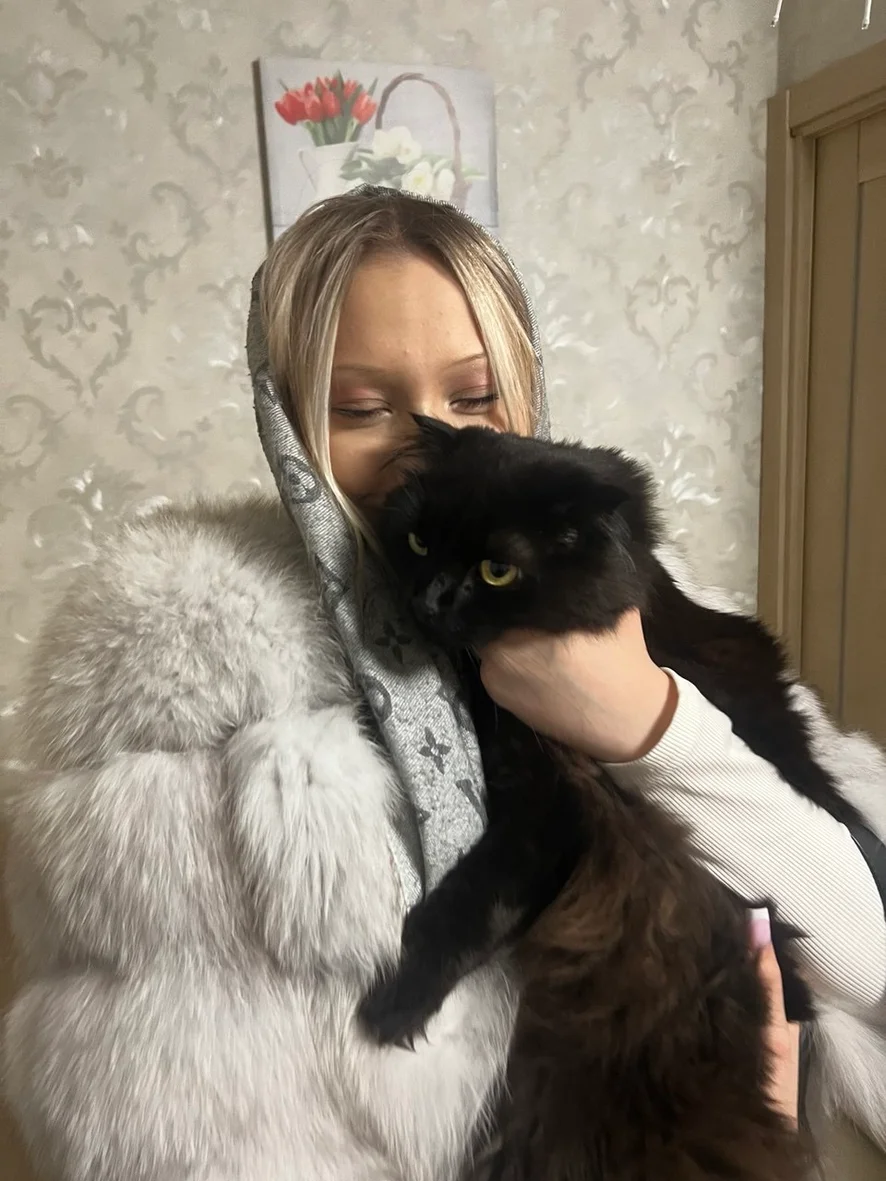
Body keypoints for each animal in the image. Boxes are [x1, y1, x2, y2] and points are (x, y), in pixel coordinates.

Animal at [359, 417, 859, 1181]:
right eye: (418, 541)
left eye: (496, 570)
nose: (427, 601)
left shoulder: (552, 807)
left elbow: (473, 903)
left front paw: (398, 1001)